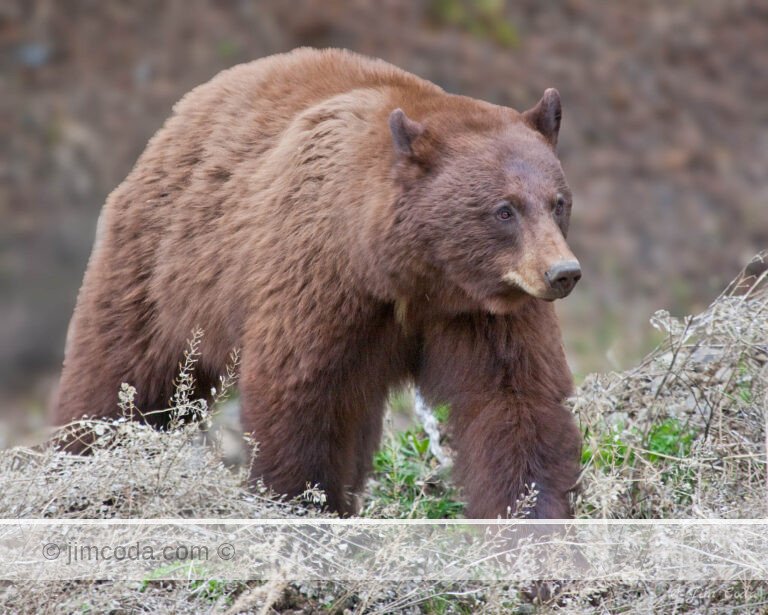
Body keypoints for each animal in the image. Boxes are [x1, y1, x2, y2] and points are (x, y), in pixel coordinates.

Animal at [53, 48, 582, 519]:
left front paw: (536, 526)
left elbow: (516, 403)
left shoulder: (485, 311)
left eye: (558, 201)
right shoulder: (320, 278)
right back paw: (80, 471)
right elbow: (300, 396)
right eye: (504, 209)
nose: (563, 272)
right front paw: (301, 504)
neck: (411, 276)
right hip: (161, 271)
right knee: (118, 379)